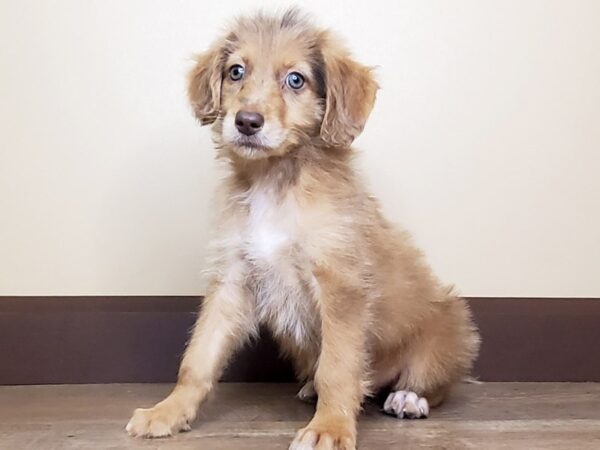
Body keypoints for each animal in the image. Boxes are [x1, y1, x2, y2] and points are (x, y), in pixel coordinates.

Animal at [125, 7, 478, 450]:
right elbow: (199, 357)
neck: (274, 181)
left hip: (447, 332)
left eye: (296, 80)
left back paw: (409, 398)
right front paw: (168, 411)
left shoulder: (340, 286)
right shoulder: (233, 279)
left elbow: (339, 368)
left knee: (432, 383)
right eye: (236, 72)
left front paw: (330, 427)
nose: (246, 121)